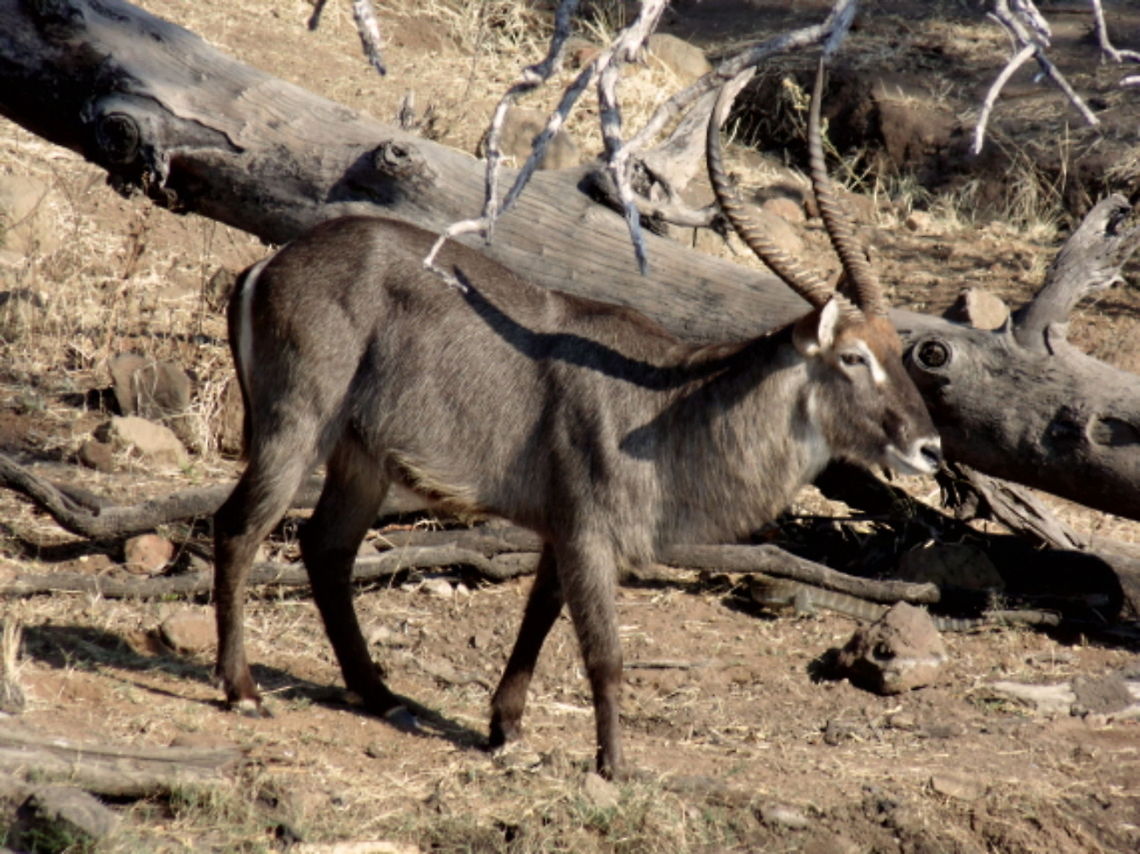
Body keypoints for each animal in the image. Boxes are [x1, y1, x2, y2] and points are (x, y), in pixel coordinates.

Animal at [212, 59, 941, 779]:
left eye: (898, 351)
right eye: (852, 357)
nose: (929, 446)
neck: (666, 406)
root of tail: (269, 263)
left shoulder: (561, 531)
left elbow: (538, 619)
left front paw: (504, 727)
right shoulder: (589, 531)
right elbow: (604, 652)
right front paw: (613, 767)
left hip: (361, 458)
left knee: (326, 549)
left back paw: (382, 696)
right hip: (294, 426)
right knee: (239, 526)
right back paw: (243, 690)